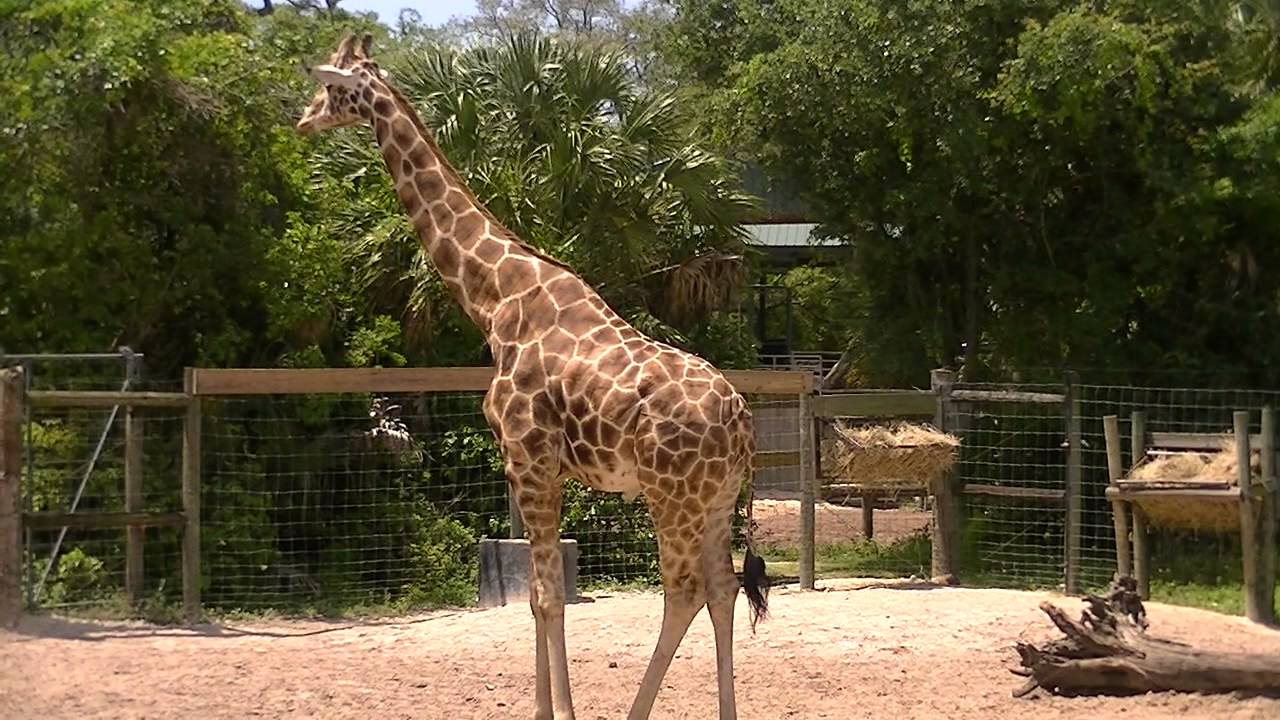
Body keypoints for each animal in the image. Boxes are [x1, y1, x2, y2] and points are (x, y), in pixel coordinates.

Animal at [296, 34, 769, 720]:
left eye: (331, 88)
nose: (302, 121)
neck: (494, 300)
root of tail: (742, 424)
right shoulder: (540, 466)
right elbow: (534, 598)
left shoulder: (526, 457)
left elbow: (546, 595)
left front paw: (560, 712)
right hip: (715, 497)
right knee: (723, 587)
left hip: (671, 495)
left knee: (682, 590)